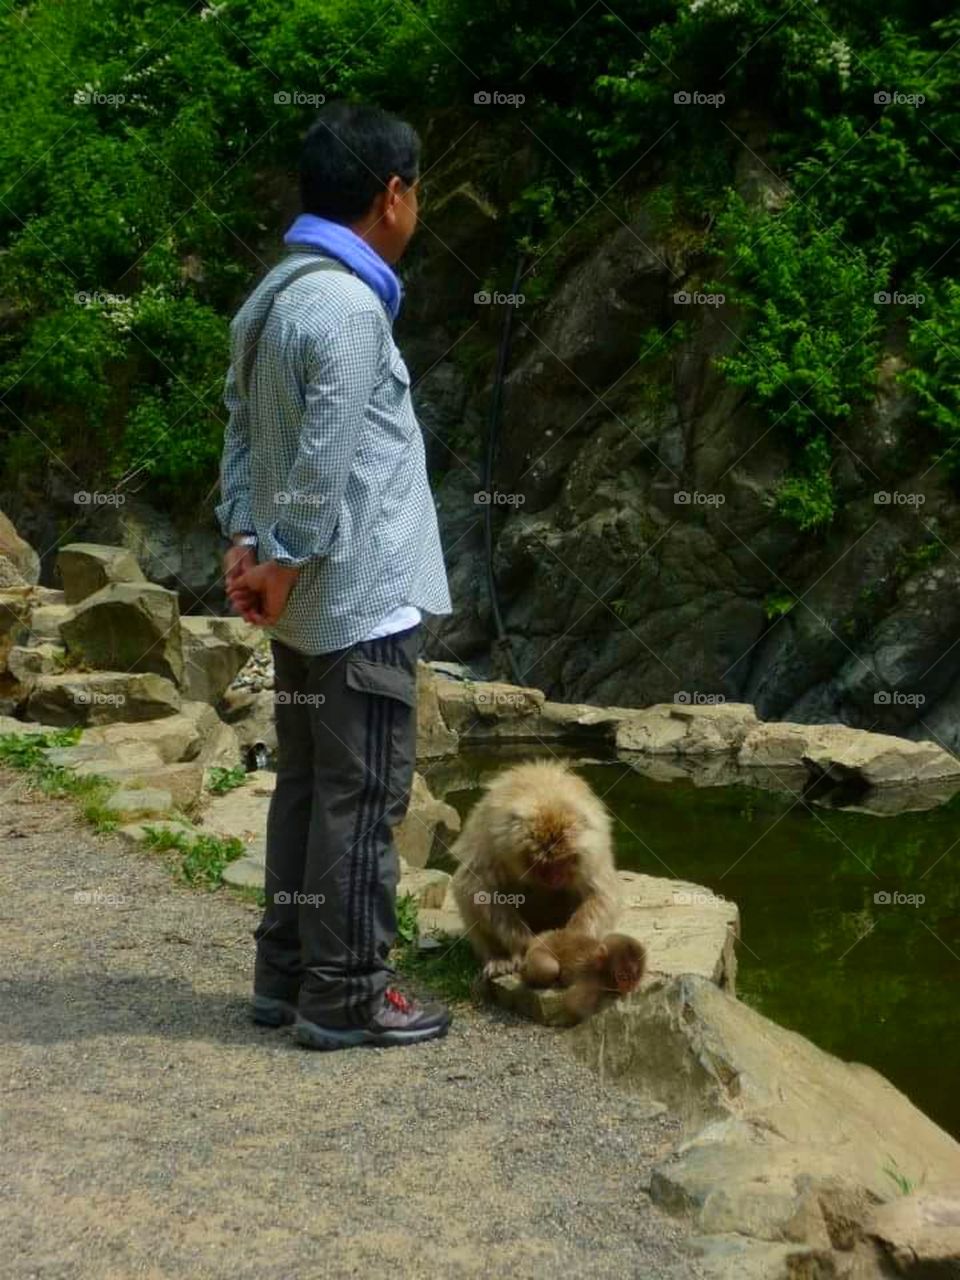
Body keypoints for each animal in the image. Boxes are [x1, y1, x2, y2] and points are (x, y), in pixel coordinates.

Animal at [451, 759, 621, 979]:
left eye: (562, 861)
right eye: (543, 864)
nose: (554, 878)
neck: (545, 794)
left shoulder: (593, 852)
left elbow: (600, 894)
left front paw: (572, 945)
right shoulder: (492, 842)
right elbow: (479, 889)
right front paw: (525, 946)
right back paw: (499, 957)